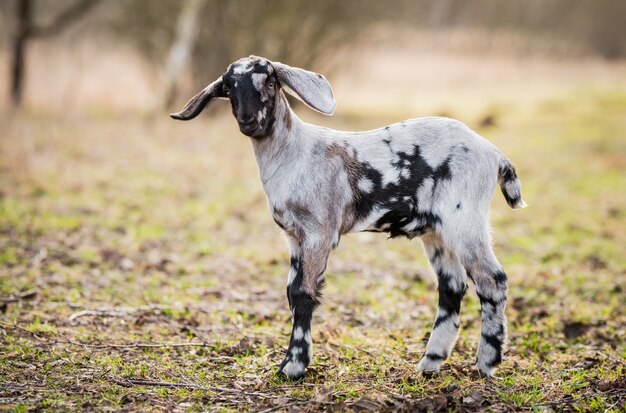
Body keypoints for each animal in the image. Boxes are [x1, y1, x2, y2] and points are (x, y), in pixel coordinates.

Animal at [169, 55, 520, 380]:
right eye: (228, 87)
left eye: (270, 81)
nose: (248, 121)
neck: (294, 154)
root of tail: (493, 153)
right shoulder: (294, 238)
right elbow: (291, 293)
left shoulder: (319, 232)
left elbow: (303, 294)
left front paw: (293, 366)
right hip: (435, 230)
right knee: (452, 286)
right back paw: (430, 363)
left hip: (465, 219)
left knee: (492, 281)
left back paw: (486, 364)